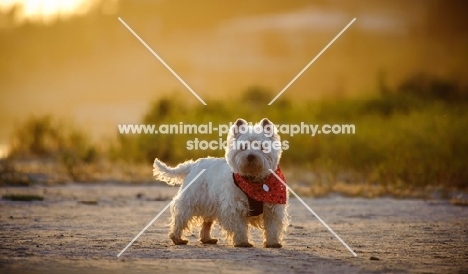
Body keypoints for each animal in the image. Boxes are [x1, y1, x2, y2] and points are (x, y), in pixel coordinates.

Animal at [154, 119, 288, 247]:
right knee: (180, 218)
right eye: (243, 147)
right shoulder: (234, 207)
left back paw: (207, 239)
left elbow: (272, 228)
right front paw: (242, 242)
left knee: (206, 222)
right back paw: (178, 239)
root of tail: (192, 165)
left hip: (210, 204)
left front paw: (273, 243)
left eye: (262, 147)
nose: (250, 156)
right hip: (191, 201)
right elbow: (239, 227)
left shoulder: (272, 209)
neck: (254, 181)